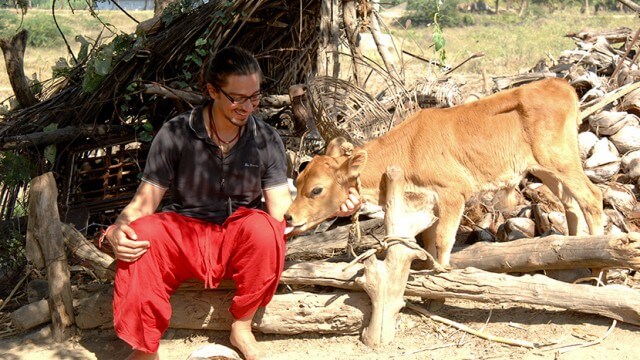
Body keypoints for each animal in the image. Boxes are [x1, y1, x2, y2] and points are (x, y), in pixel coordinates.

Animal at [284, 79, 604, 268]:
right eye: (298, 181)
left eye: (317, 189)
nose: (288, 217)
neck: (407, 148)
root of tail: (558, 83)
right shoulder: (428, 202)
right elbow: (427, 241)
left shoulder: (453, 192)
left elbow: (443, 240)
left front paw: (442, 272)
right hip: (545, 168)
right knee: (571, 203)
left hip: (562, 160)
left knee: (592, 197)